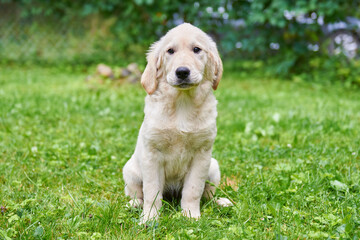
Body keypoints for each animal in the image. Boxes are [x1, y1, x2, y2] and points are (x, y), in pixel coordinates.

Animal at [122, 23, 232, 223]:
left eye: (196, 49)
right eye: (170, 51)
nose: (182, 72)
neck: (182, 103)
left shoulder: (202, 154)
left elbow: (193, 190)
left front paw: (191, 215)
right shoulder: (152, 154)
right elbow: (151, 192)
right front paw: (149, 218)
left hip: (214, 168)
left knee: (207, 196)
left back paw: (220, 202)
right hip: (130, 171)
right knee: (136, 193)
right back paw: (135, 204)